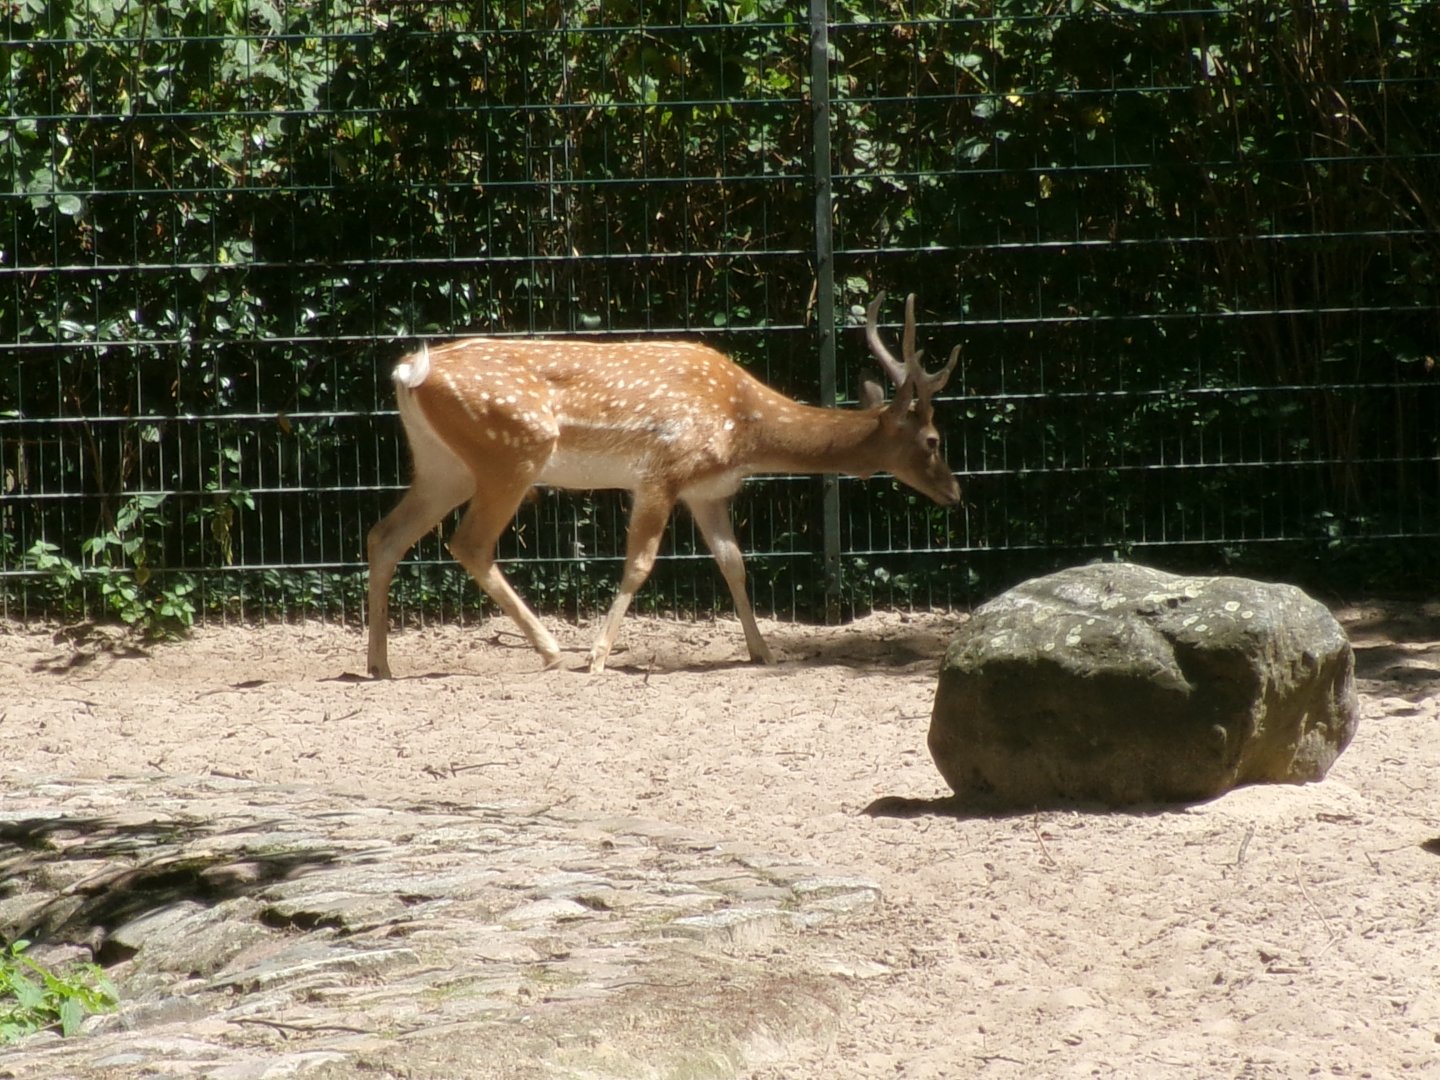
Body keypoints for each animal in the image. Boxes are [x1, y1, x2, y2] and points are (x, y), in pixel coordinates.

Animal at [366, 292, 960, 677]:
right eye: (934, 440)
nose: (955, 494)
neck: (744, 424)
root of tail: (408, 373)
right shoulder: (663, 472)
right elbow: (640, 564)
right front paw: (599, 657)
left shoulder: (707, 490)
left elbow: (734, 563)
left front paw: (763, 652)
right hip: (510, 453)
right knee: (469, 543)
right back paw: (553, 651)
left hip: (443, 466)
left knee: (384, 534)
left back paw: (379, 663)